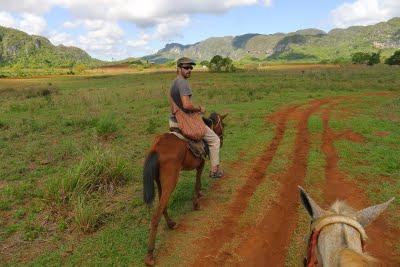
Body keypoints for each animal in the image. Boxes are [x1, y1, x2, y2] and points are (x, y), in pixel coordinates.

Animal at [142, 112, 227, 266]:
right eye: (222, 124)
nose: (221, 140)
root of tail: (156, 148)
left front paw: (199, 195)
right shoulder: (201, 163)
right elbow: (197, 182)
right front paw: (196, 203)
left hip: (160, 181)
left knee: (162, 204)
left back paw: (171, 224)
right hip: (171, 181)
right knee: (156, 214)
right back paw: (150, 254)